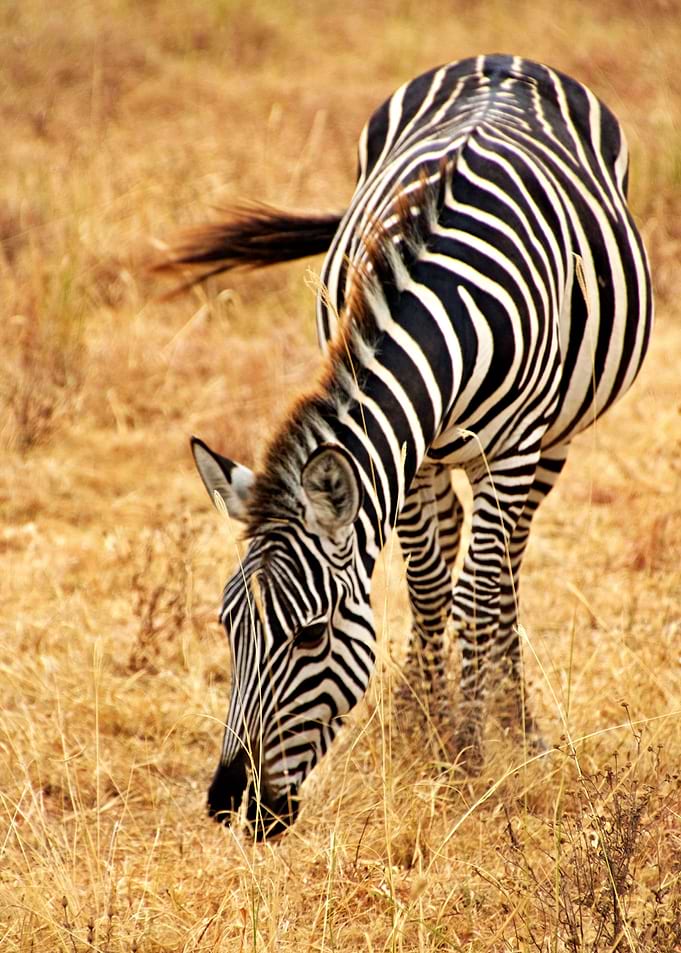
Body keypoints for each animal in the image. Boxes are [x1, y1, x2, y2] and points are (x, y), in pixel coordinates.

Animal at [163, 54, 653, 839]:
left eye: (310, 636)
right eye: (226, 625)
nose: (231, 804)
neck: (446, 310)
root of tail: (502, 58)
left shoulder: (513, 446)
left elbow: (477, 591)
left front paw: (470, 752)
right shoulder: (411, 456)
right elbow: (426, 582)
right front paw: (420, 729)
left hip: (553, 440)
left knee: (505, 563)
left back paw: (517, 726)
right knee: (455, 548)